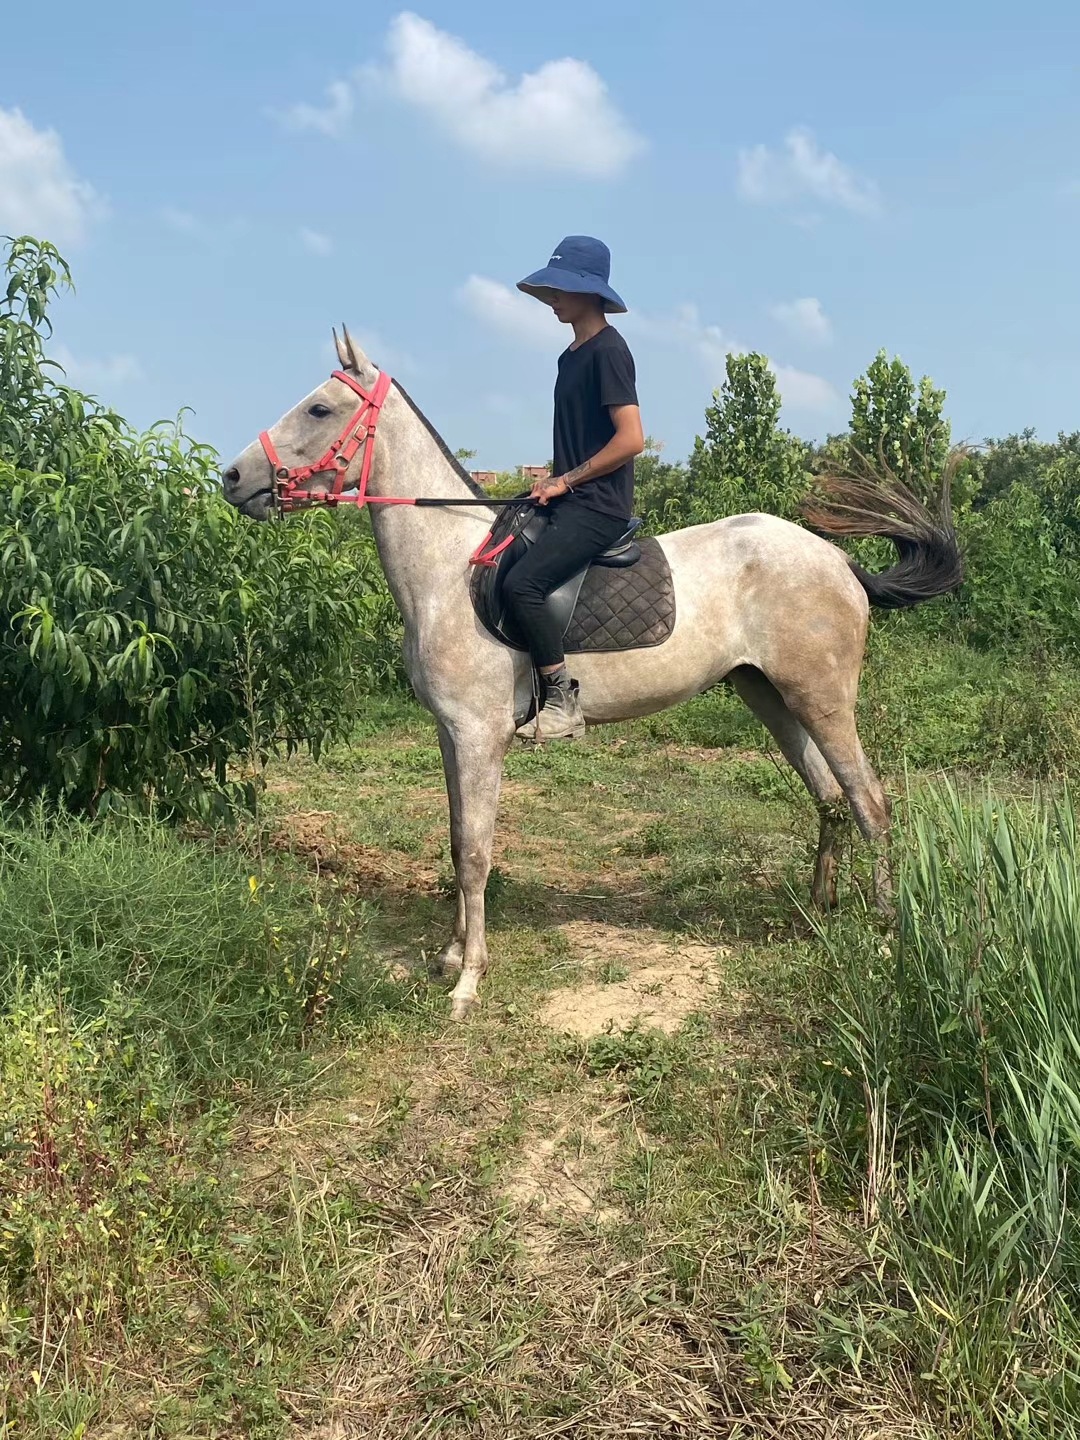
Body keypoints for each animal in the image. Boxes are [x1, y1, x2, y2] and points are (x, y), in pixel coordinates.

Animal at [222, 327, 962, 1020]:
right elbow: (458, 842)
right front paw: (450, 955)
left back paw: (884, 932)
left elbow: (476, 851)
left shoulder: (478, 736)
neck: (448, 571)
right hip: (771, 696)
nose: (231, 478)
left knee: (869, 801)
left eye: (319, 407)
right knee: (830, 798)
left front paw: (468, 983)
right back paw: (816, 912)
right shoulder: (450, 735)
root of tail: (837, 560)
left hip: (823, 698)